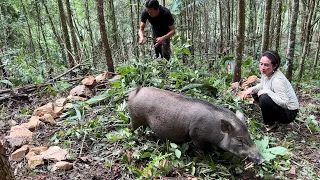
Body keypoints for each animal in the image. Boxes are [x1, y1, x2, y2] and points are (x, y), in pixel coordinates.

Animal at [127, 86, 264, 164]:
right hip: (135, 118)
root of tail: (135, 91)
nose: (262, 160)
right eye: (239, 140)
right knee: (130, 128)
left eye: (249, 136)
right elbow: (201, 149)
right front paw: (206, 158)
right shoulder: (196, 135)